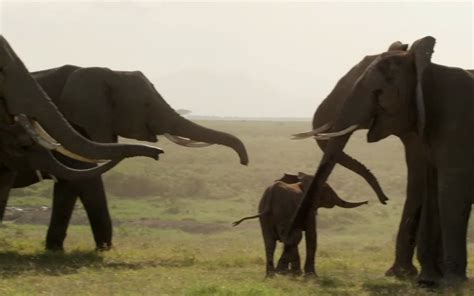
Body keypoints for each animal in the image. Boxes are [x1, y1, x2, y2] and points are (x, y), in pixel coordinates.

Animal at [0, 64, 248, 250]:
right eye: (146, 104)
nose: (244, 162)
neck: (105, 73)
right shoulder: (71, 123)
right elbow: (85, 178)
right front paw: (103, 250)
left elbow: (71, 182)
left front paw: (57, 250)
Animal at [233, 172, 366, 276]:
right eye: (327, 189)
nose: (367, 202)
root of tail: (270, 198)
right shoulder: (309, 208)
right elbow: (311, 234)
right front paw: (309, 276)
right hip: (284, 212)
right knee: (292, 238)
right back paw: (282, 273)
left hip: (266, 216)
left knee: (271, 242)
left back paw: (272, 275)